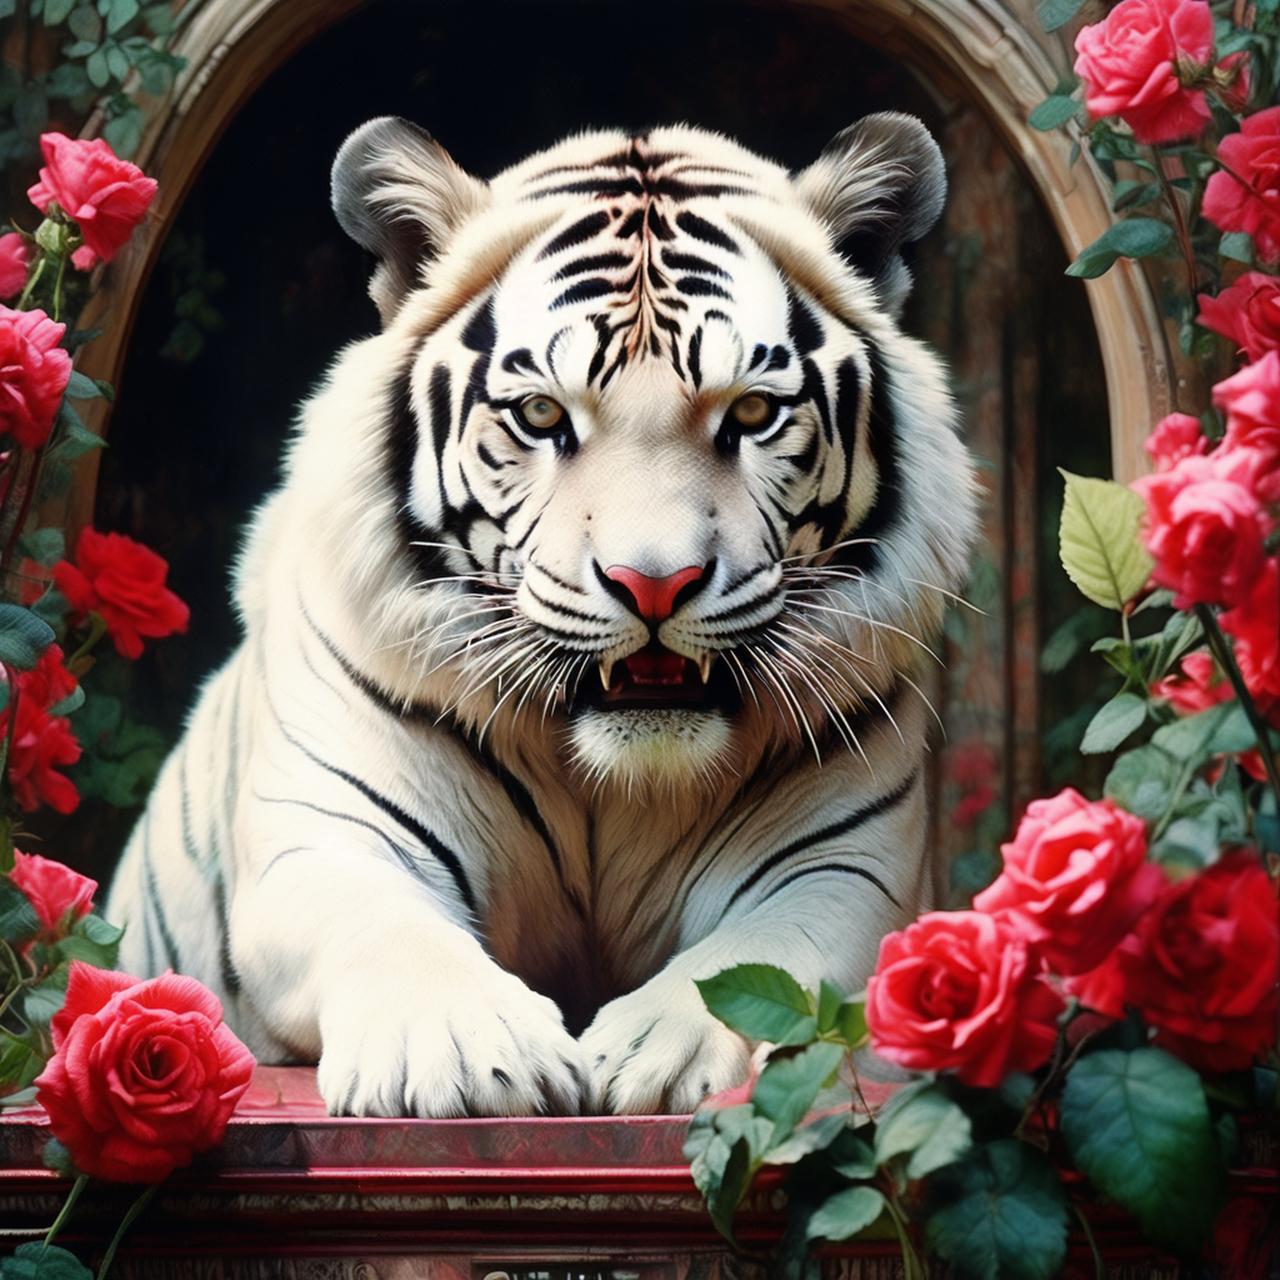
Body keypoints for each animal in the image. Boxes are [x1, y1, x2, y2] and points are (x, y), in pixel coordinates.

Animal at [105, 114, 978, 1118]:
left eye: (753, 412)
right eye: (540, 415)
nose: (654, 583)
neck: (614, 784)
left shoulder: (844, 866)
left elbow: (763, 955)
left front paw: (656, 1052)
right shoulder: (327, 837)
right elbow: (391, 929)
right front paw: (462, 1054)